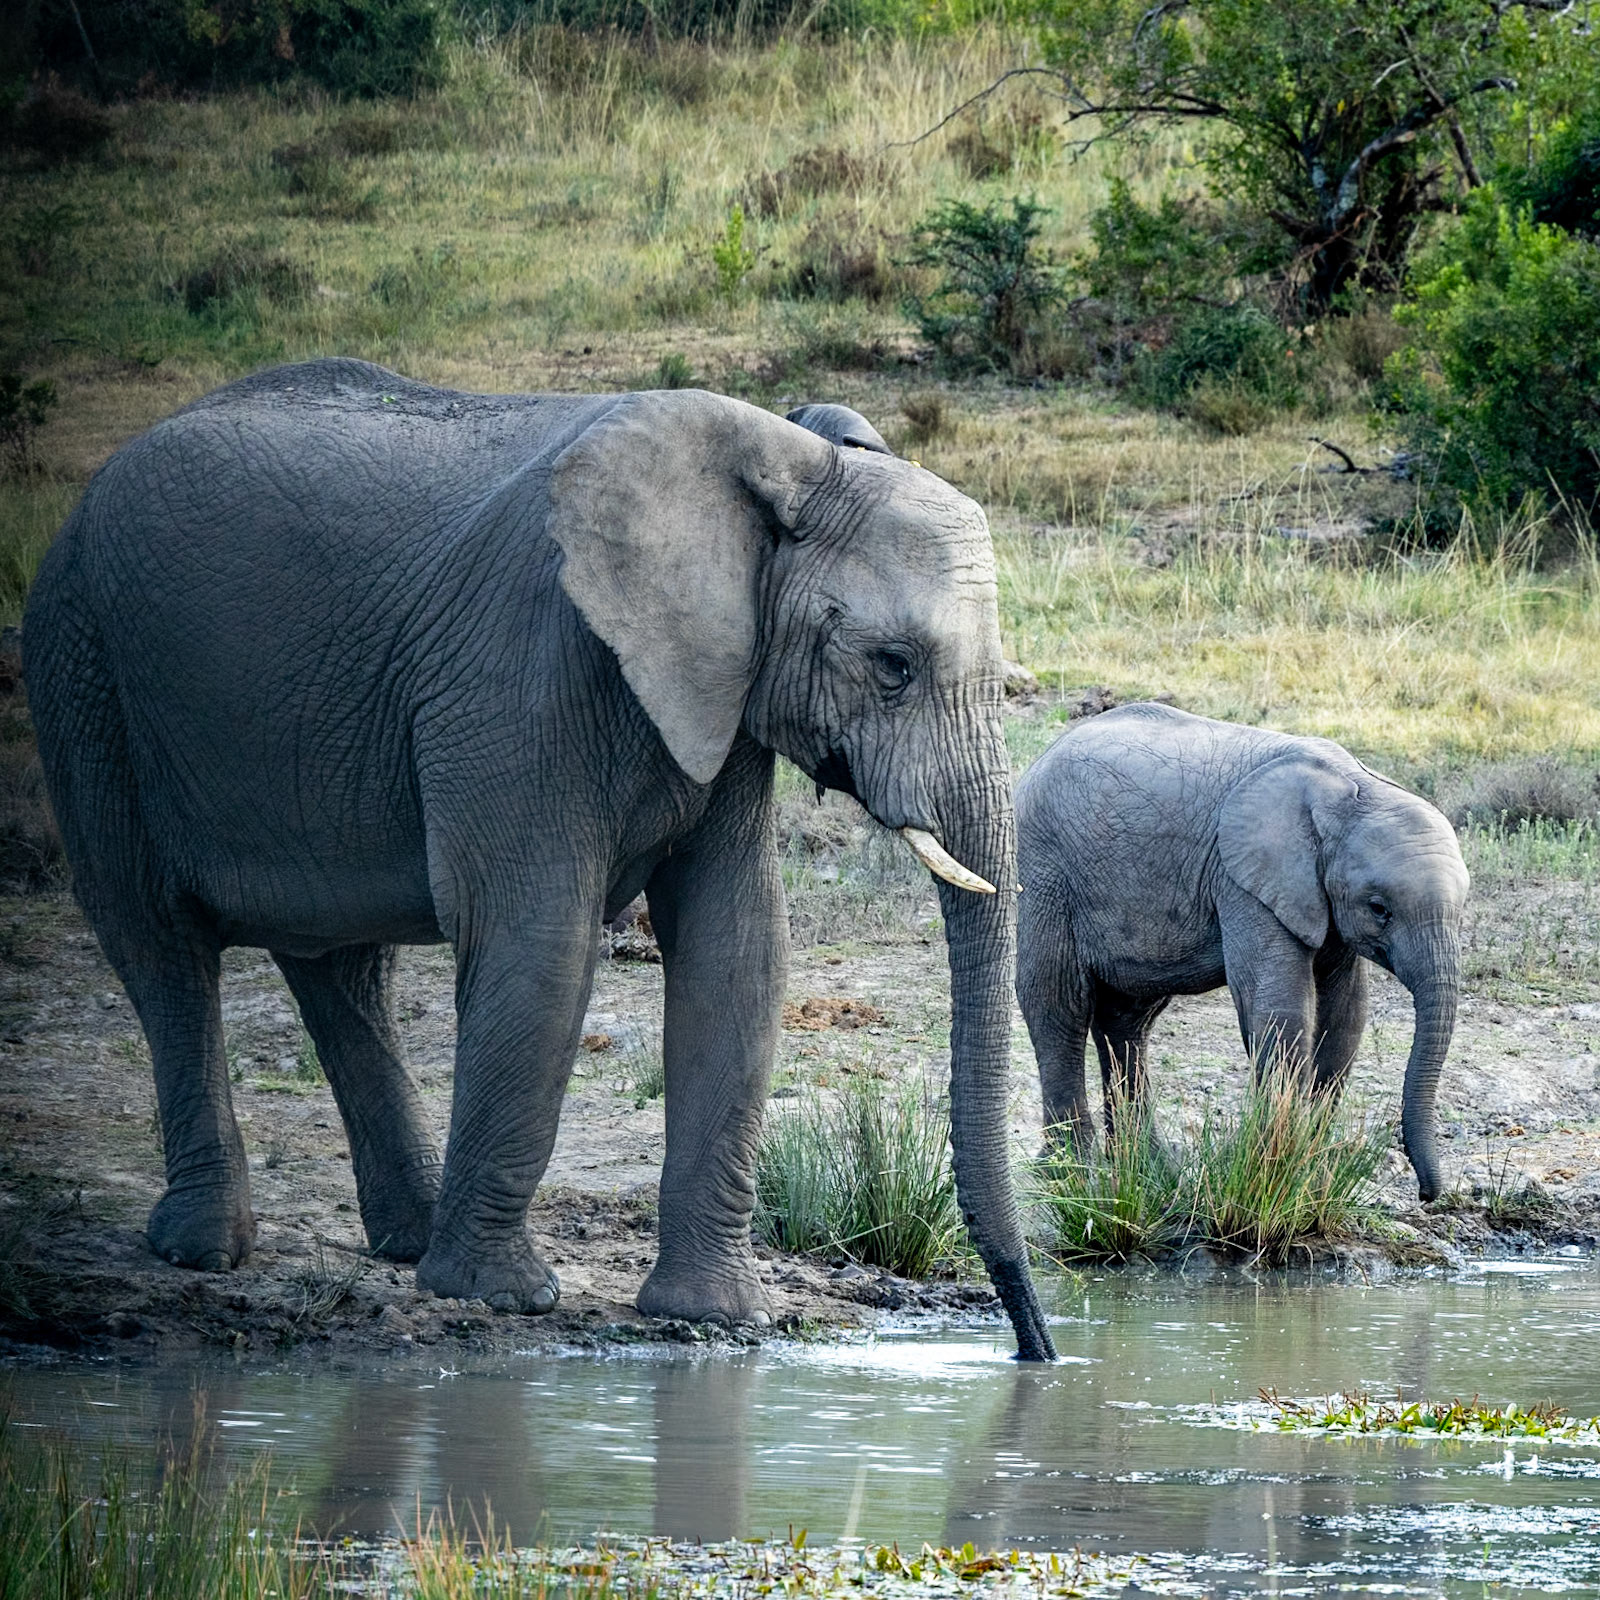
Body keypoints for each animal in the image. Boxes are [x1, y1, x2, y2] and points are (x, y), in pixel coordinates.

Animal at [24, 358, 1055, 1360]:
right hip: (85, 672)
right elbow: (542, 948)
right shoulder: (523, 670)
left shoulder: (720, 689)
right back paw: (207, 1251)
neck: (787, 457)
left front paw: (722, 1318)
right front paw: (500, 1299)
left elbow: (739, 953)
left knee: (341, 969)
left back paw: (407, 1241)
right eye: (892, 666)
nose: (1034, 1346)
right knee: (161, 946)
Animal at [1014, 703, 1469, 1200]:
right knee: (1059, 1005)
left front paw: (1312, 1177)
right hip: (1045, 873)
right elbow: (1280, 1010)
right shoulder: (1244, 880)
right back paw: (1066, 1173)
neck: (1352, 790)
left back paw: (1147, 1168)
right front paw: (1278, 1170)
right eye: (1379, 908)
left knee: (1127, 1020)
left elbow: (1346, 1016)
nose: (1426, 1194)